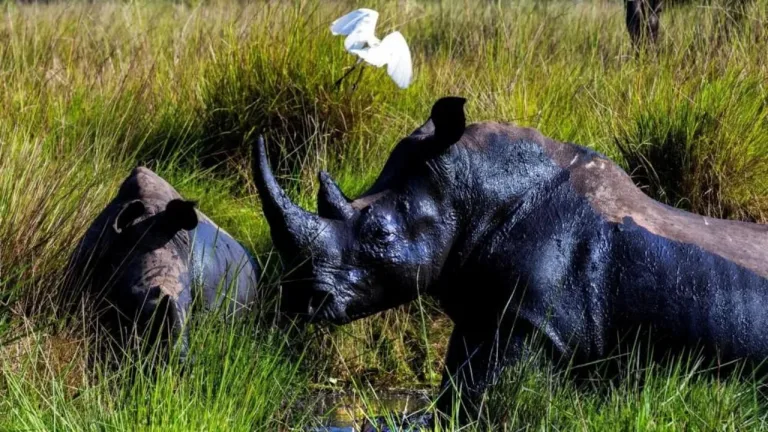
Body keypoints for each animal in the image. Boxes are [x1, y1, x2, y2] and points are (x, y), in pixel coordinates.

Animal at [253, 96, 768, 426]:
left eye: (380, 234)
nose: (299, 298)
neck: (469, 191)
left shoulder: (533, 318)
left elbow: (478, 403)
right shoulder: (485, 310)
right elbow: (454, 395)